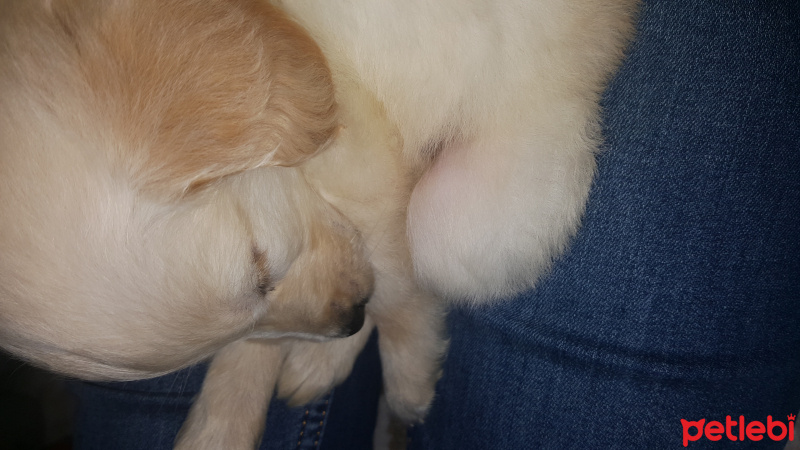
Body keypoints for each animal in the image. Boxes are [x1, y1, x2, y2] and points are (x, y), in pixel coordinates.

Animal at [0, 0, 636, 446]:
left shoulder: (371, 168)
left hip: (477, 211)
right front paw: (223, 423)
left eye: (262, 266)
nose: (347, 319)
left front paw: (407, 374)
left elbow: (396, 289)